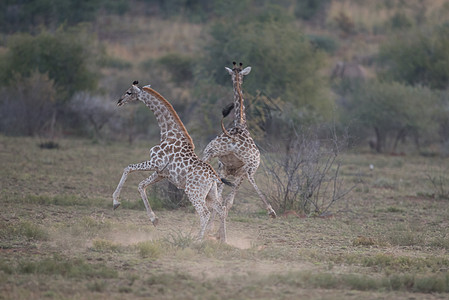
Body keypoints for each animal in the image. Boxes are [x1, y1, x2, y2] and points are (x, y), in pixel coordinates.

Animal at [111, 80, 229, 241]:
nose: (119, 101)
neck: (168, 133)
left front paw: (115, 201)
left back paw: (198, 241)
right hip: (210, 194)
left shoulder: (155, 162)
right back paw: (223, 239)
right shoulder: (161, 172)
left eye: (129, 92)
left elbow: (128, 168)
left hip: (194, 192)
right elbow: (141, 185)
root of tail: (213, 177)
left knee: (205, 214)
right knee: (221, 209)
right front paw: (154, 219)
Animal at [203, 62, 276, 218]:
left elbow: (222, 200)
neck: (240, 123)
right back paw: (271, 210)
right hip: (251, 165)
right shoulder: (233, 171)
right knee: (247, 182)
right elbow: (225, 201)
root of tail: (233, 139)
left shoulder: (226, 170)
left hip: (212, 153)